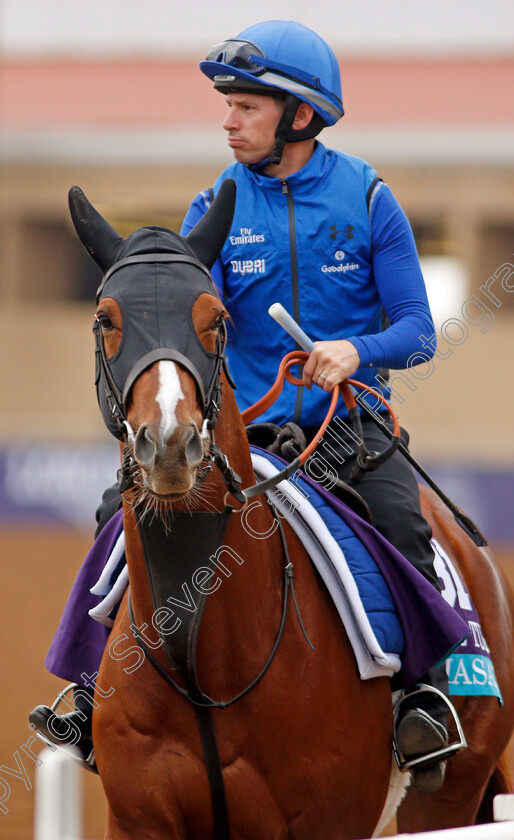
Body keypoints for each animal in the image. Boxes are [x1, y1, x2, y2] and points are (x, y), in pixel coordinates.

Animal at [68, 184, 512, 840]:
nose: (170, 444)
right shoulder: (138, 819)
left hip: (448, 798)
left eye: (216, 319)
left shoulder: (325, 819)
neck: (204, 667)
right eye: (105, 318)